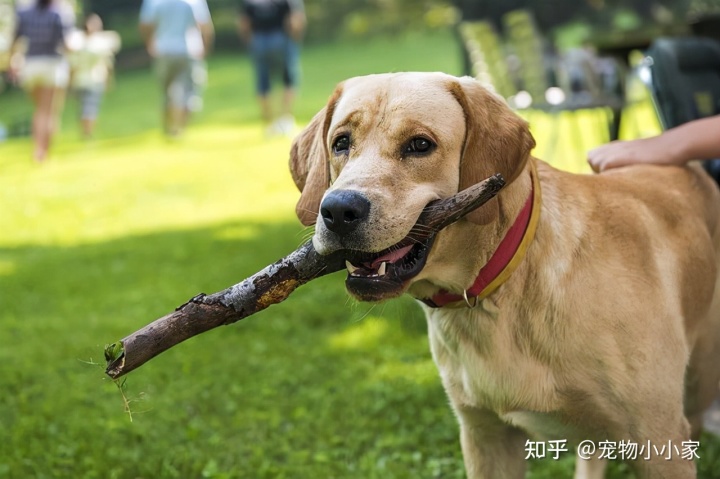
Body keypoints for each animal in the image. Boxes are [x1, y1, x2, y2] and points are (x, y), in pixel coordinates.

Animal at [286, 72, 720, 479]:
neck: (499, 290)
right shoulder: (486, 436)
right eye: (341, 142)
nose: (338, 210)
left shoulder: (659, 441)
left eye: (420, 145)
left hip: (699, 384)